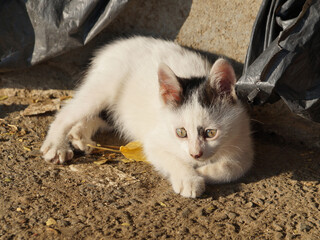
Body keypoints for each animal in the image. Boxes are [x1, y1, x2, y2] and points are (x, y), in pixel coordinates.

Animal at [41, 36, 254, 198]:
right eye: (181, 132)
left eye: (210, 133)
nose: (195, 154)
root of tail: (115, 46)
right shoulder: (154, 142)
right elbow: (170, 158)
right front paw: (189, 179)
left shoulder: (243, 140)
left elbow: (233, 167)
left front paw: (204, 172)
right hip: (104, 86)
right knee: (68, 112)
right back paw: (57, 145)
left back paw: (80, 136)